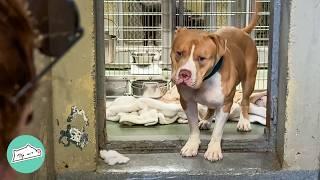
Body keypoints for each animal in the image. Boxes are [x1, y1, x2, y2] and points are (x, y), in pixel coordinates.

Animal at [170, 2, 260, 161]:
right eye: (179, 53)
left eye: (202, 58)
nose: (184, 74)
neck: (205, 80)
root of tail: (242, 31)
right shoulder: (187, 102)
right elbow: (193, 126)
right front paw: (192, 145)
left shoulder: (225, 105)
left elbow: (217, 131)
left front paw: (213, 150)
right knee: (210, 107)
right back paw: (206, 120)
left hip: (249, 80)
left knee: (245, 100)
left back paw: (244, 122)